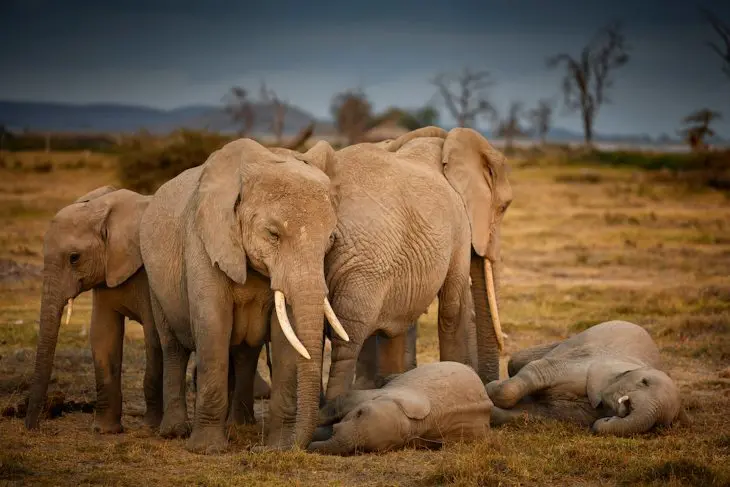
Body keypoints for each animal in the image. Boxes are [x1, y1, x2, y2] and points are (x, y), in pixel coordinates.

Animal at [25, 186, 163, 434]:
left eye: (74, 258)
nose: (33, 427)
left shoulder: (150, 275)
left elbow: (154, 335)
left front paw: (150, 429)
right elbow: (102, 334)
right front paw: (104, 431)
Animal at [139, 137, 348, 453]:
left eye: (330, 241)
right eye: (273, 234)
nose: (258, 450)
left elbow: (286, 337)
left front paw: (278, 446)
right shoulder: (203, 239)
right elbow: (213, 325)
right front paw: (207, 449)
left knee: (245, 352)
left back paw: (240, 425)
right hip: (154, 279)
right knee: (173, 346)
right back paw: (175, 432)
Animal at [310, 126, 512, 401]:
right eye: (503, 207)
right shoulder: (458, 224)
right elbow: (453, 307)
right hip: (365, 261)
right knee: (348, 335)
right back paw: (333, 405)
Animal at [486, 320, 688, 436]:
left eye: (658, 424)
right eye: (644, 382)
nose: (607, 420)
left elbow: (540, 412)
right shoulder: (585, 365)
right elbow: (540, 371)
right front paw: (489, 388)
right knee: (517, 361)